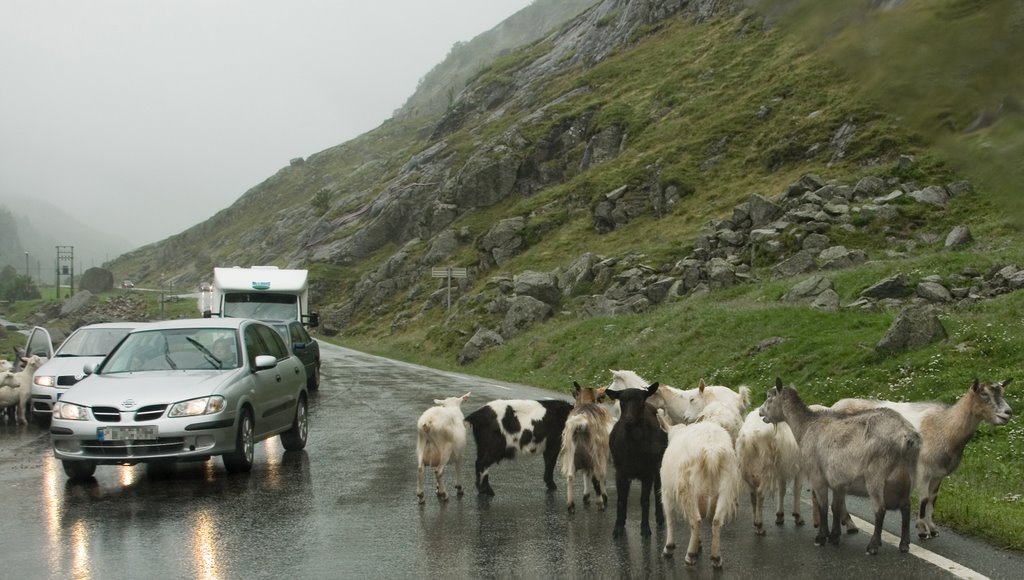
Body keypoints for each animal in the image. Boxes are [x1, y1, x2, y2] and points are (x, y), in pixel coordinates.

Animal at [602, 381, 667, 541]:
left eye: (641, 401)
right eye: (622, 401)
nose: (628, 420)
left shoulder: (647, 472)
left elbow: (644, 500)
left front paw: (645, 529)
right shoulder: (620, 471)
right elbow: (621, 499)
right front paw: (618, 528)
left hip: (658, 465)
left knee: (658, 490)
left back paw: (660, 518)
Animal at [659, 403, 741, 569]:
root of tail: (711, 452)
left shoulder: (666, 493)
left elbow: (670, 518)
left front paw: (668, 548)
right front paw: (699, 544)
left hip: (688, 489)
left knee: (696, 520)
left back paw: (690, 555)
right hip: (726, 488)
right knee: (716, 520)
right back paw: (716, 557)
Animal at [761, 379, 921, 557]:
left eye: (769, 397)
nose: (761, 412)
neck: (806, 426)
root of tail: (907, 436)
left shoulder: (818, 476)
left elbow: (824, 506)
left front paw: (821, 537)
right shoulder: (839, 481)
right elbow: (835, 507)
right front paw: (834, 535)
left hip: (876, 475)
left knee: (880, 509)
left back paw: (873, 545)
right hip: (908, 476)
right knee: (906, 507)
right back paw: (904, 543)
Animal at [835, 379, 1011, 536]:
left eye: (1002, 392)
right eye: (984, 394)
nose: (1008, 413)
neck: (945, 427)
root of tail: (834, 405)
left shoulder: (938, 474)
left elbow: (933, 499)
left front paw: (932, 527)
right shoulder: (923, 470)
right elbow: (924, 499)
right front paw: (922, 529)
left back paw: (848, 522)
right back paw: (848, 523)